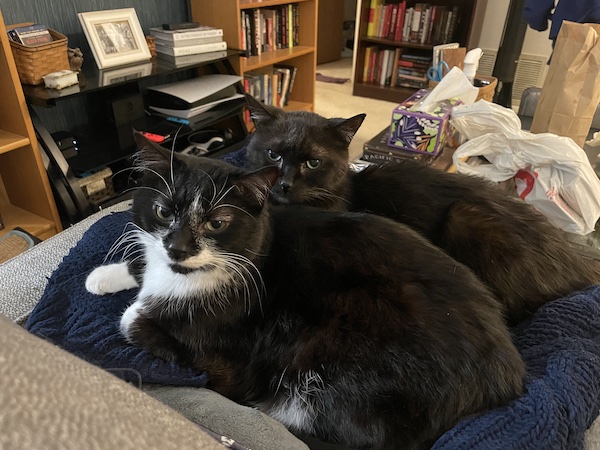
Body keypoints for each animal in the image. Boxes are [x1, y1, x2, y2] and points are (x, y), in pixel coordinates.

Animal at [86, 134, 524, 450]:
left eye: (217, 223)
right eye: (162, 211)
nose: (177, 249)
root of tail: (507, 379)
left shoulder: (225, 353)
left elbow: (134, 320)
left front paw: (138, 305)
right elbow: (143, 264)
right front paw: (105, 276)